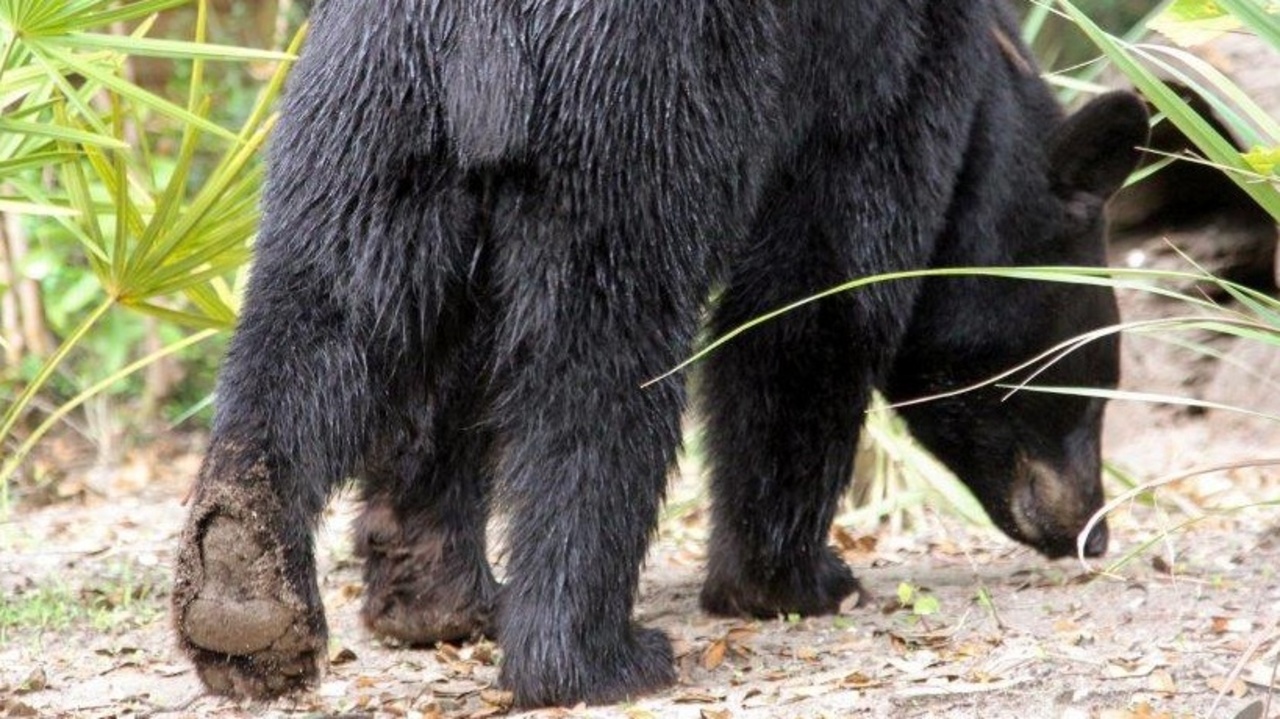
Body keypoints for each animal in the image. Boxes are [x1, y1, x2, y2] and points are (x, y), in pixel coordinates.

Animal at [172, 0, 1148, 709]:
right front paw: (796, 580)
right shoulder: (882, 85)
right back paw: (597, 657)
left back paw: (244, 597)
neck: (986, 79)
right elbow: (811, 305)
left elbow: (451, 367)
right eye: (1090, 375)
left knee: (315, 310)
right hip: (632, 113)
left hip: (362, 121)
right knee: (604, 368)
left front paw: (428, 598)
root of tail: (475, 26)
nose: (1091, 528)